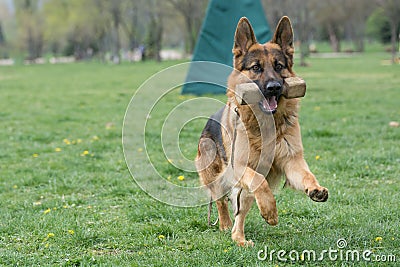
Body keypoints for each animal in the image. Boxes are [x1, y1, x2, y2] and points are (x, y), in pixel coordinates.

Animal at [195, 16, 328, 247]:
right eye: (256, 67)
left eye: (279, 66)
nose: (274, 87)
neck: (265, 124)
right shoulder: (240, 166)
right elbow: (260, 183)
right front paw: (270, 211)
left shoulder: (292, 160)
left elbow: (306, 174)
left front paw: (315, 188)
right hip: (218, 176)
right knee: (221, 200)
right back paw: (226, 226)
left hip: (244, 191)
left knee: (240, 213)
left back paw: (239, 238)